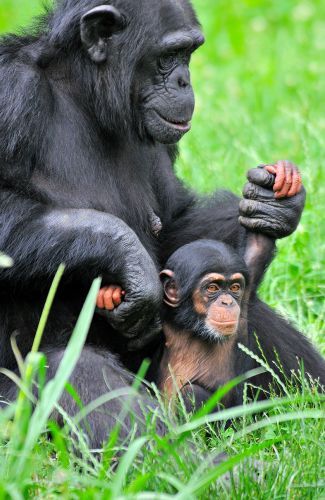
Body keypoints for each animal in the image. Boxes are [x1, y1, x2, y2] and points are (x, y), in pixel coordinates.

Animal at [0, 0, 316, 446]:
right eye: (169, 56)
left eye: (189, 53)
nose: (184, 81)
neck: (85, 98)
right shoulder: (12, 92)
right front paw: (127, 255)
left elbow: (174, 228)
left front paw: (272, 207)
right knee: (78, 374)